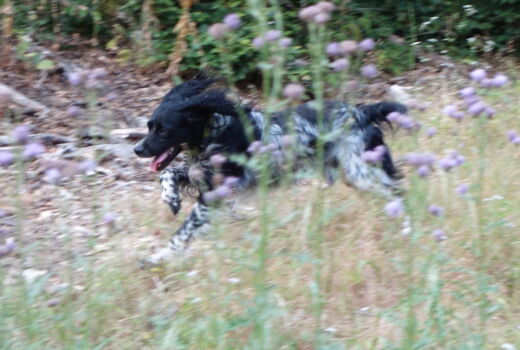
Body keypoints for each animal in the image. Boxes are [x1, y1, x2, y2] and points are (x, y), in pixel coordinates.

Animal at [134, 74, 406, 266]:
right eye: (149, 126)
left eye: (163, 130)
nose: (137, 149)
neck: (217, 131)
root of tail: (361, 111)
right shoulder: (203, 176)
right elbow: (168, 173)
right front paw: (171, 198)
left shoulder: (215, 194)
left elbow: (183, 231)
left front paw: (159, 257)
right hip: (354, 173)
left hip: (363, 173)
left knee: (399, 193)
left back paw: (407, 229)